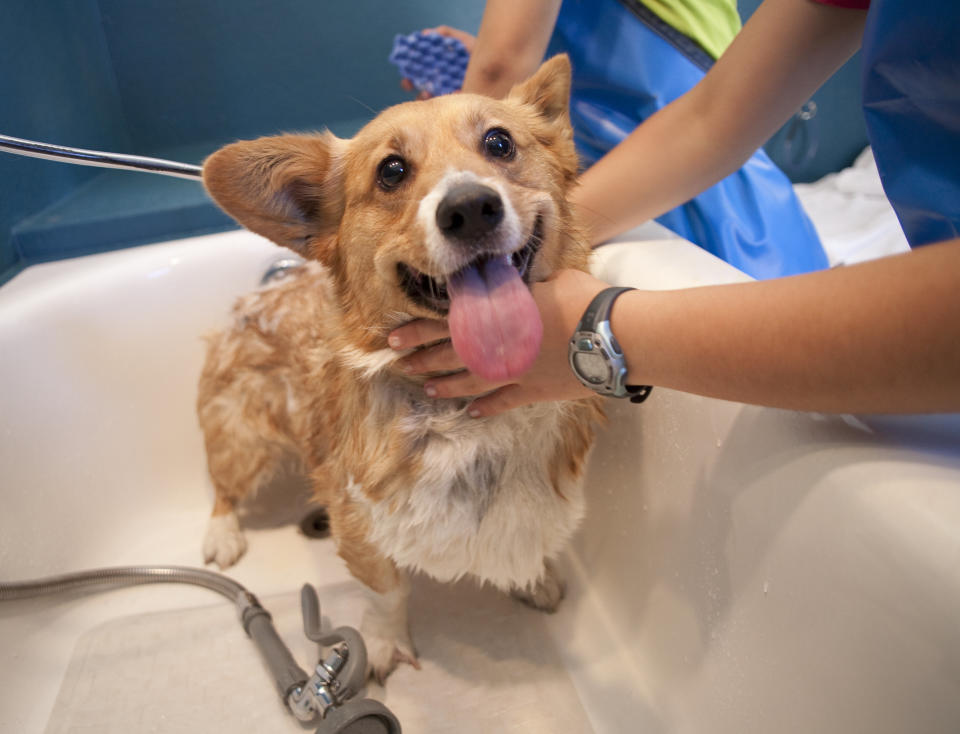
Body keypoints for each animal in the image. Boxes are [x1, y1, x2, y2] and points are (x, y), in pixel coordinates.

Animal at [197, 56, 600, 684]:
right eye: (391, 171)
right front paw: (383, 648)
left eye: (499, 142)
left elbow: (527, 543)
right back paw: (222, 534)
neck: (467, 414)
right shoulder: (361, 527)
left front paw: (534, 581)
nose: (470, 208)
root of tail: (253, 300)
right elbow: (388, 594)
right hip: (243, 439)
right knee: (222, 485)